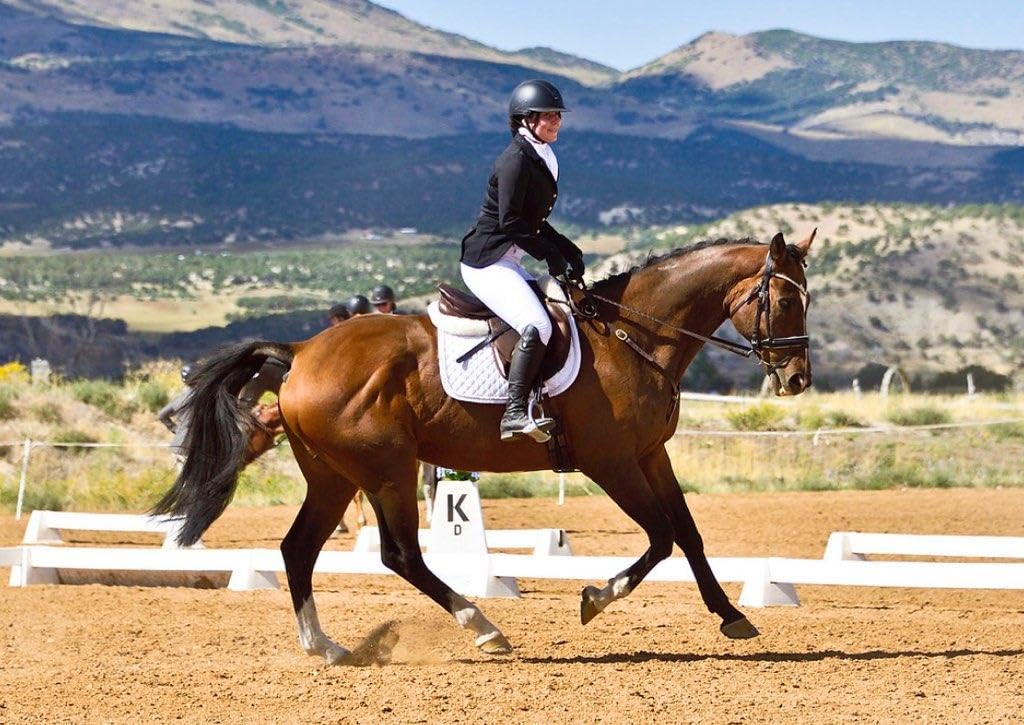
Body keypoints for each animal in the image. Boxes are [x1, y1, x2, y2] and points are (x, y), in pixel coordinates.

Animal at [154, 231, 815, 665]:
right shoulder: (612, 463)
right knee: (400, 555)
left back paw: (329, 647)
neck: (634, 335)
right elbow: (661, 537)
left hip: (334, 476)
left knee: (298, 549)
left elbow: (690, 534)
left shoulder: (653, 455)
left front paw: (733, 617)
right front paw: (594, 598)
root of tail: (300, 353)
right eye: (785, 301)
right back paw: (485, 628)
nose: (798, 379)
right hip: (387, 468)